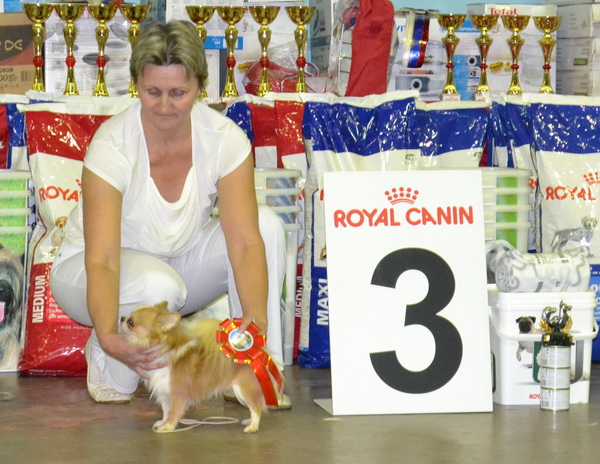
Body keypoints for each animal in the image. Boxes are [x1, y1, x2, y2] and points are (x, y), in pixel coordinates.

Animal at [121, 301, 273, 433]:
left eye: (131, 322)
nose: (122, 318)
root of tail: (252, 355)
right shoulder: (165, 393)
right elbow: (166, 410)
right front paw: (163, 422)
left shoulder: (178, 395)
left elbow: (173, 412)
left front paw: (168, 427)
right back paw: (249, 421)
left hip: (243, 389)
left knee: (255, 407)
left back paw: (252, 427)